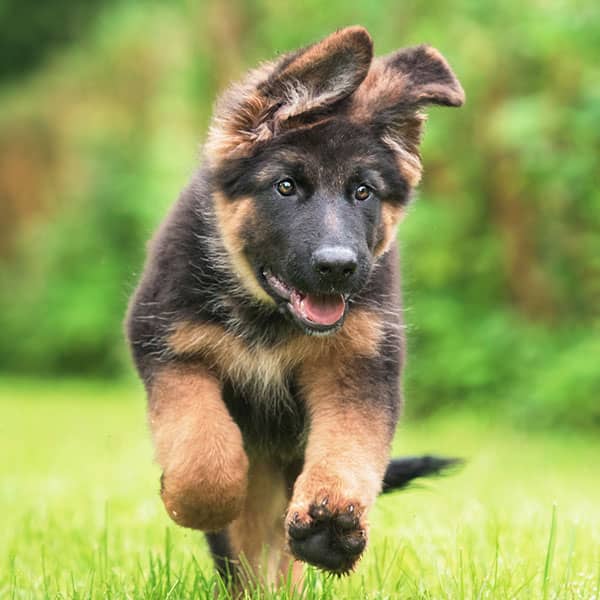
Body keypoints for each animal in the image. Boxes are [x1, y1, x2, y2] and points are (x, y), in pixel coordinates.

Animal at [125, 27, 464, 584]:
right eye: (286, 186)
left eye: (363, 192)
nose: (338, 266)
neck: (269, 316)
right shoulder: (171, 350)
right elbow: (202, 455)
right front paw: (192, 500)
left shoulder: (359, 366)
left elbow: (349, 447)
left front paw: (331, 524)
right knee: (249, 544)